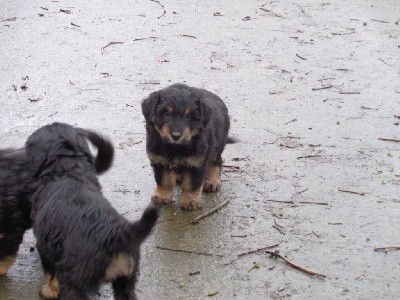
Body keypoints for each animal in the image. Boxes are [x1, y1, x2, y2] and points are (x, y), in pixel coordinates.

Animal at [25, 122, 159, 300]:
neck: (65, 170)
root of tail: (114, 234)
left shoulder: (44, 246)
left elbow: (50, 272)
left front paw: (49, 291)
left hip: (75, 280)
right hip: (126, 279)